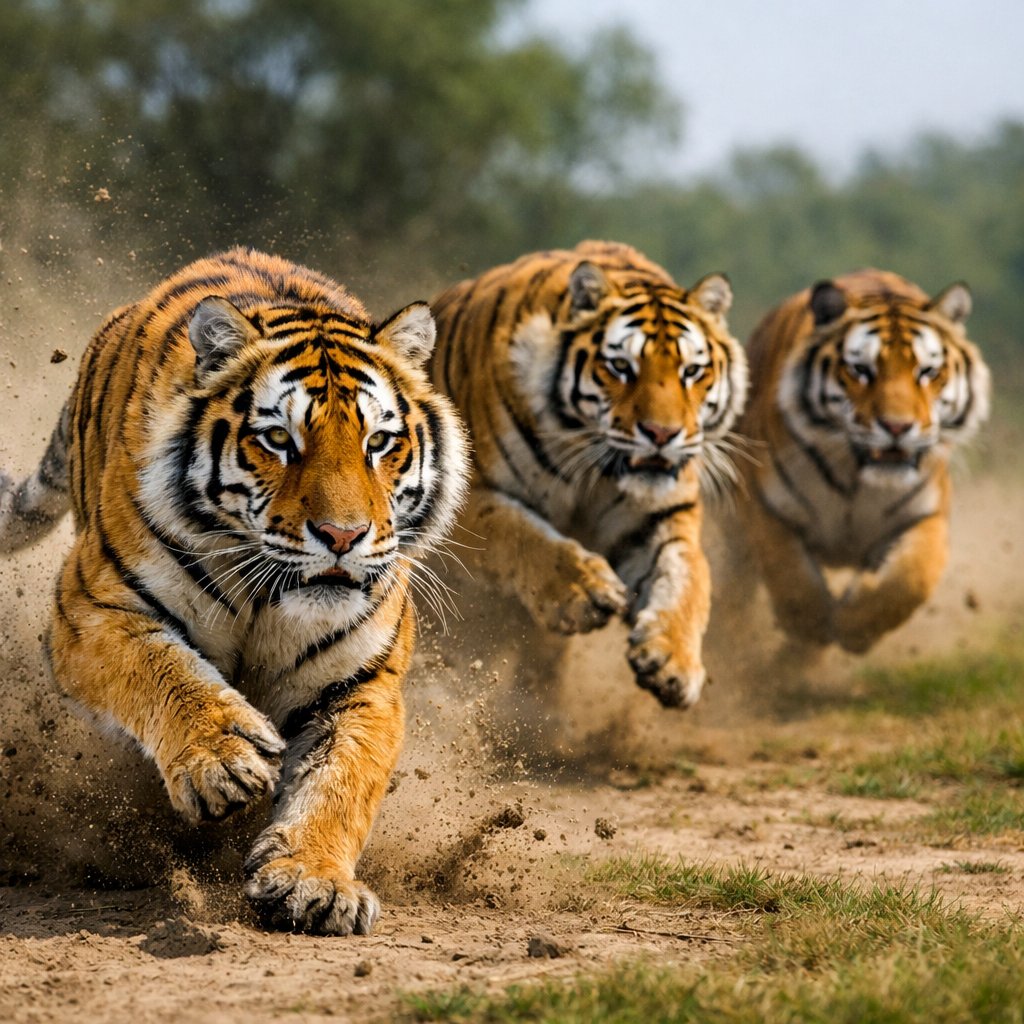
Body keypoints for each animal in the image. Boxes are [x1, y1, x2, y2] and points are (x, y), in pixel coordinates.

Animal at [0, 247, 469, 934]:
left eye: (379, 443)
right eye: (278, 439)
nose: (343, 535)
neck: (266, 596)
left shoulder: (362, 682)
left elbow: (342, 779)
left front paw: (314, 881)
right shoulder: (92, 610)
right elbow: (164, 669)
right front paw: (224, 757)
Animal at [430, 241, 748, 709]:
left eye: (691, 372)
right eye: (621, 367)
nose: (662, 434)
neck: (594, 470)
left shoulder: (659, 519)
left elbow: (688, 577)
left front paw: (673, 662)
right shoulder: (466, 498)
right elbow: (519, 533)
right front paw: (584, 592)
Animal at [732, 269, 990, 654]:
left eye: (928, 372)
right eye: (860, 370)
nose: (897, 427)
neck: (857, 479)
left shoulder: (926, 514)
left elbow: (911, 579)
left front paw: (854, 628)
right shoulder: (764, 504)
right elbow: (788, 572)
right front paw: (811, 626)